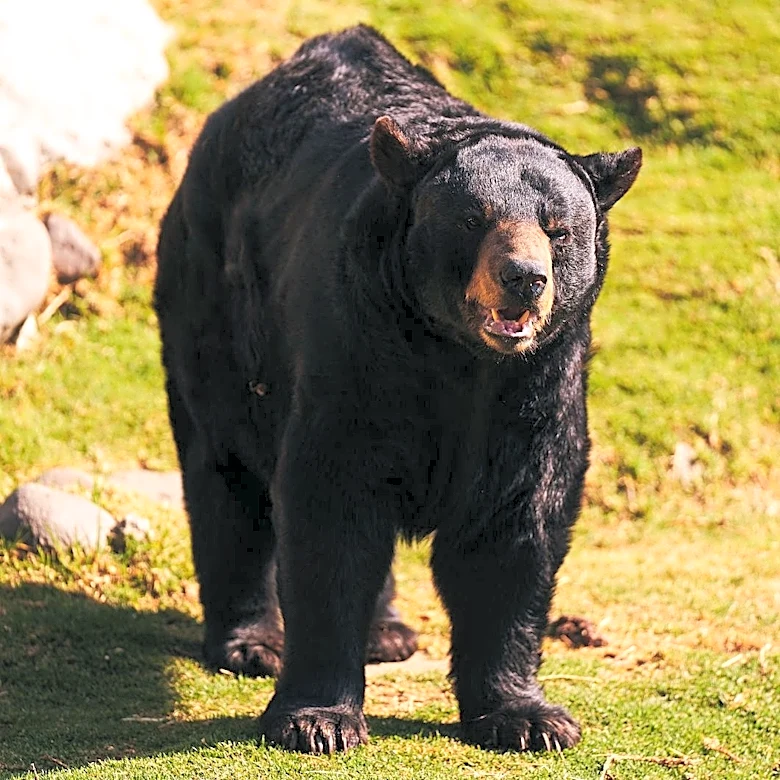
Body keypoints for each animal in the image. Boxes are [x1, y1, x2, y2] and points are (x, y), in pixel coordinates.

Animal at [154, 25, 641, 755]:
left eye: (558, 228)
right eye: (474, 219)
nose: (524, 278)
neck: (455, 354)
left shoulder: (535, 384)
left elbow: (516, 521)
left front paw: (528, 716)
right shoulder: (359, 347)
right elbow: (331, 503)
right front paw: (317, 719)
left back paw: (386, 631)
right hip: (215, 310)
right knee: (228, 473)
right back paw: (251, 641)